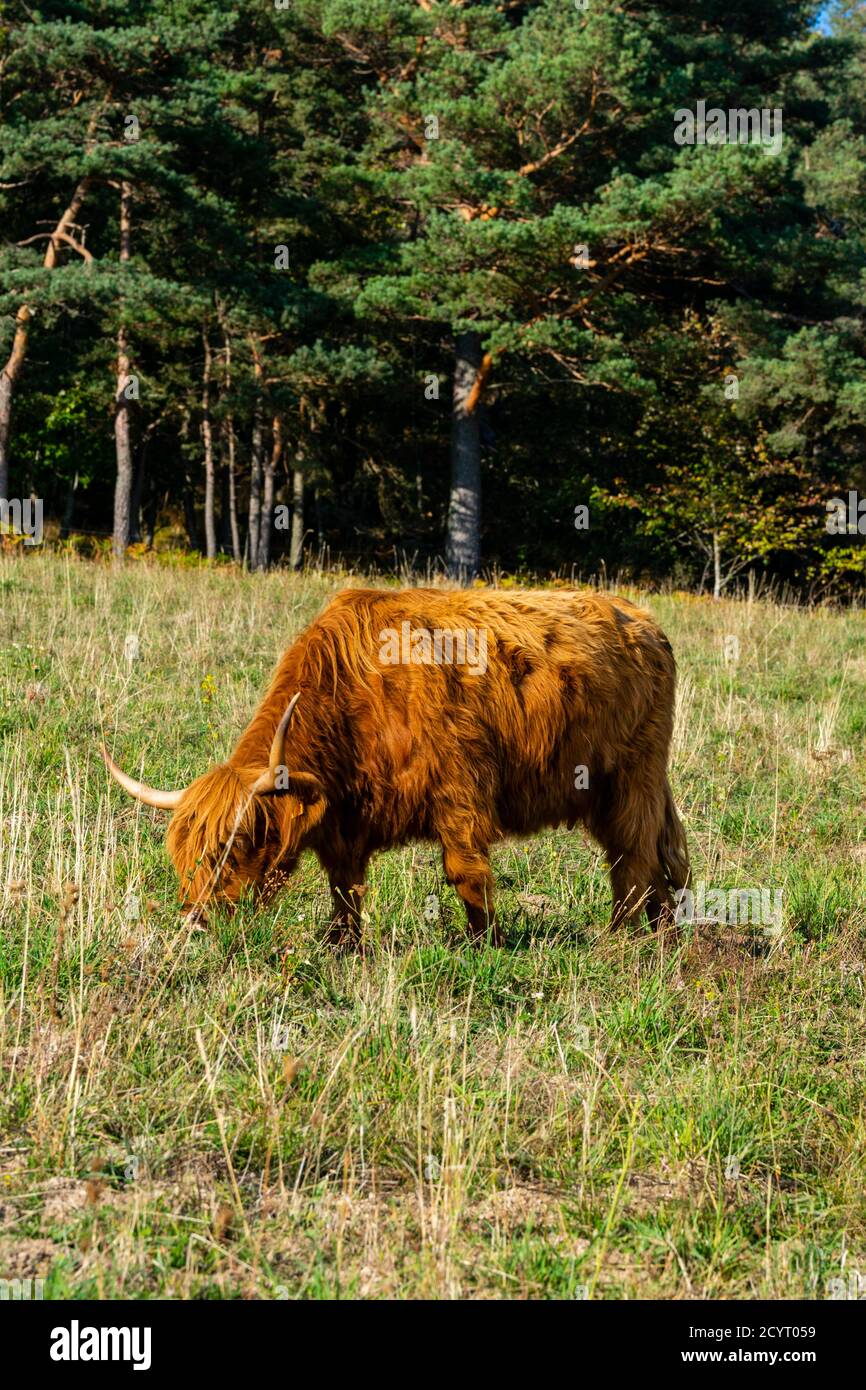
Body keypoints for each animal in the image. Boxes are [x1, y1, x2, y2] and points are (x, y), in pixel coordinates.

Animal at [102, 586, 690, 945]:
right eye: (182, 855)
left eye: (236, 843)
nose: (195, 921)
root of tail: (643, 621)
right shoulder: (345, 820)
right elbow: (345, 886)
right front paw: (342, 946)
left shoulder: (459, 791)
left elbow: (467, 875)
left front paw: (487, 945)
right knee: (659, 854)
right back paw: (665, 935)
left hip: (632, 775)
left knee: (633, 856)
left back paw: (619, 938)